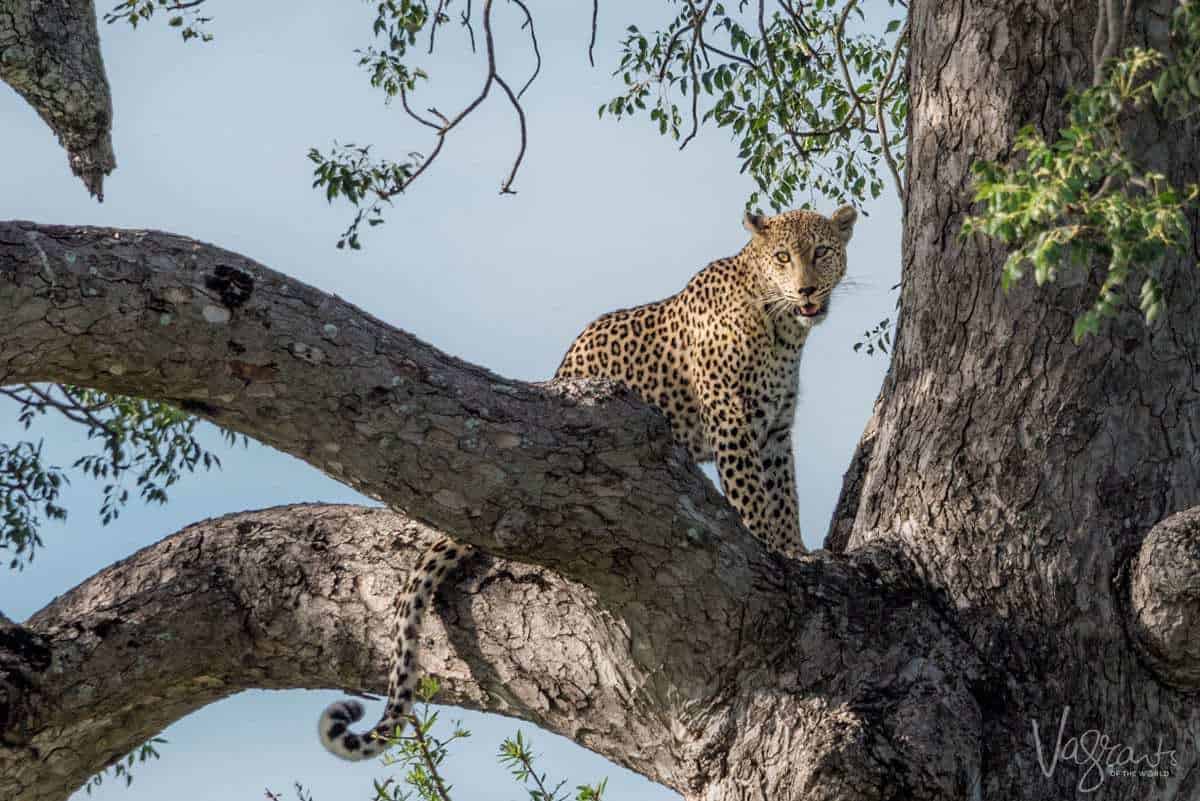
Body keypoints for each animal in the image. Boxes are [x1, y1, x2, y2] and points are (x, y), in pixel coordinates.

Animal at [319, 203, 859, 762]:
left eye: (821, 252)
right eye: (783, 257)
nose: (806, 290)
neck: (783, 329)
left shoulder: (774, 429)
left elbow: (784, 494)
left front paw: (795, 550)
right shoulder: (732, 418)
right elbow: (753, 496)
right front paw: (768, 547)